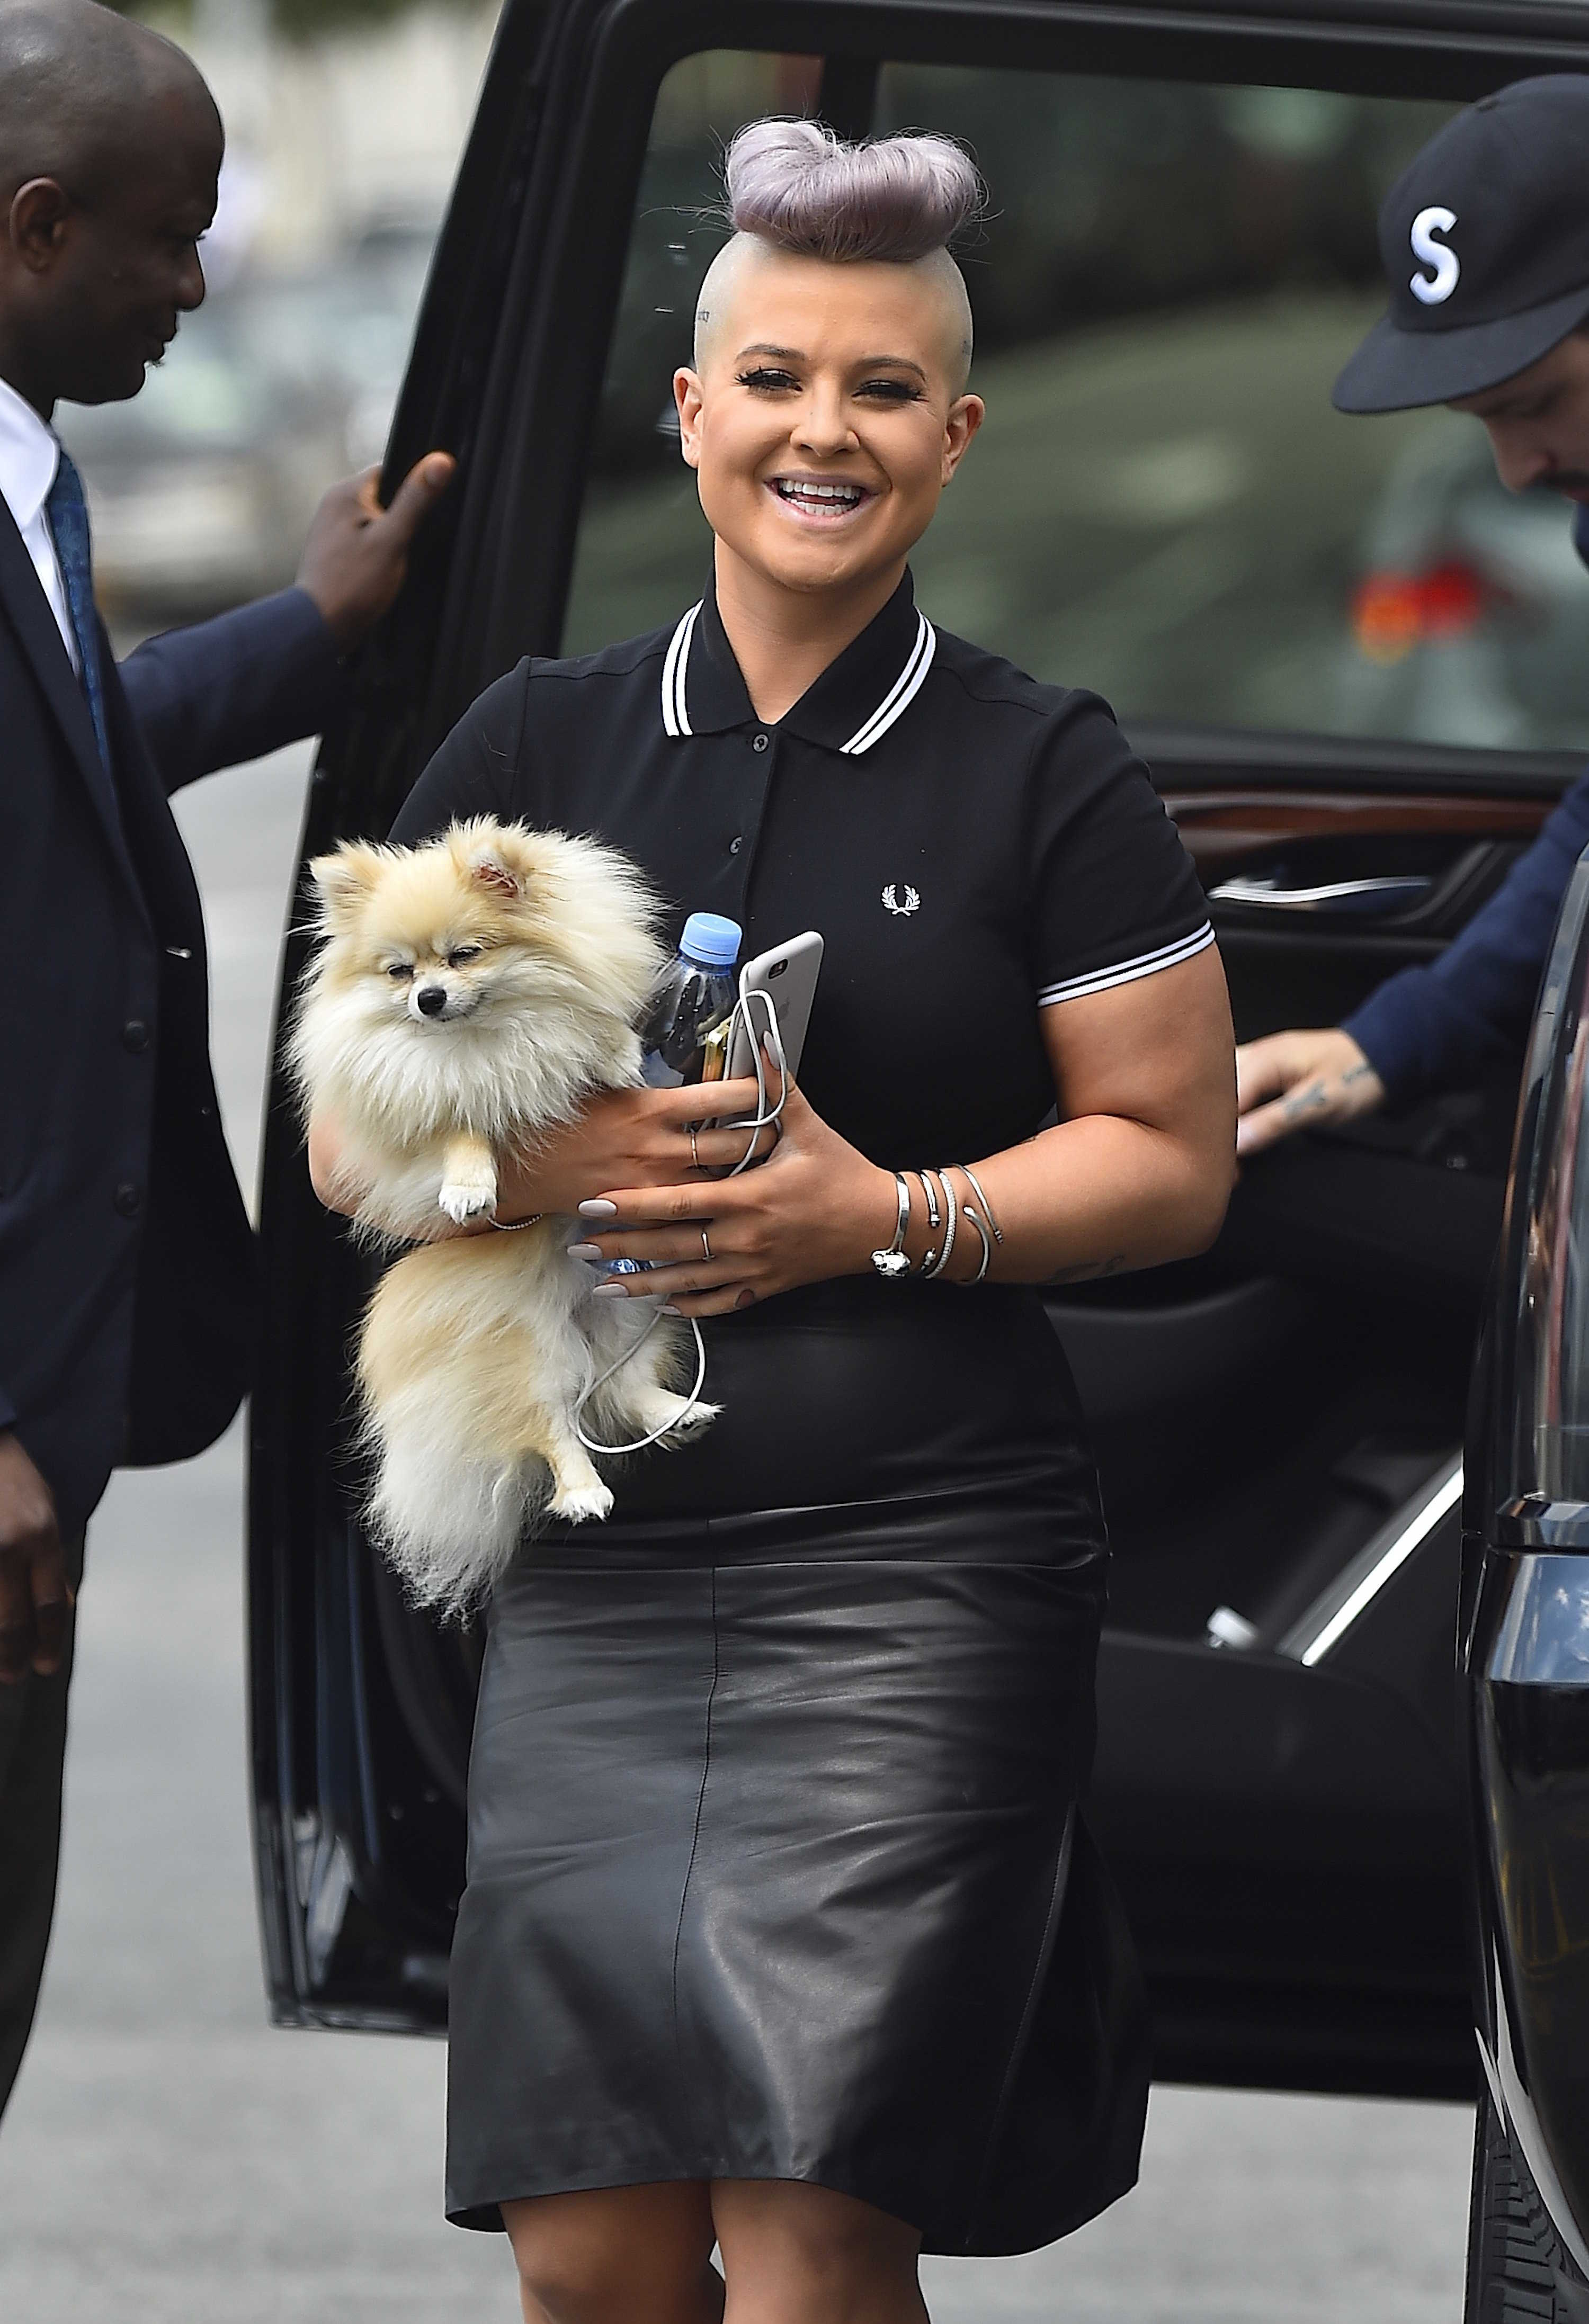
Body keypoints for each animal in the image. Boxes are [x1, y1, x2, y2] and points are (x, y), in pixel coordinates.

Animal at [288, 818, 715, 1617]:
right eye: (398, 972)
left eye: (465, 955)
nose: (428, 998)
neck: (494, 1030)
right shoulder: (428, 1103)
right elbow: (462, 1124)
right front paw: (468, 1187)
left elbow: (594, 1030)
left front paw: (616, 1057)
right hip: (526, 1359)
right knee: (553, 1427)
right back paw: (584, 1492)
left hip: (634, 1309)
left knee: (623, 1384)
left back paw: (675, 1412)